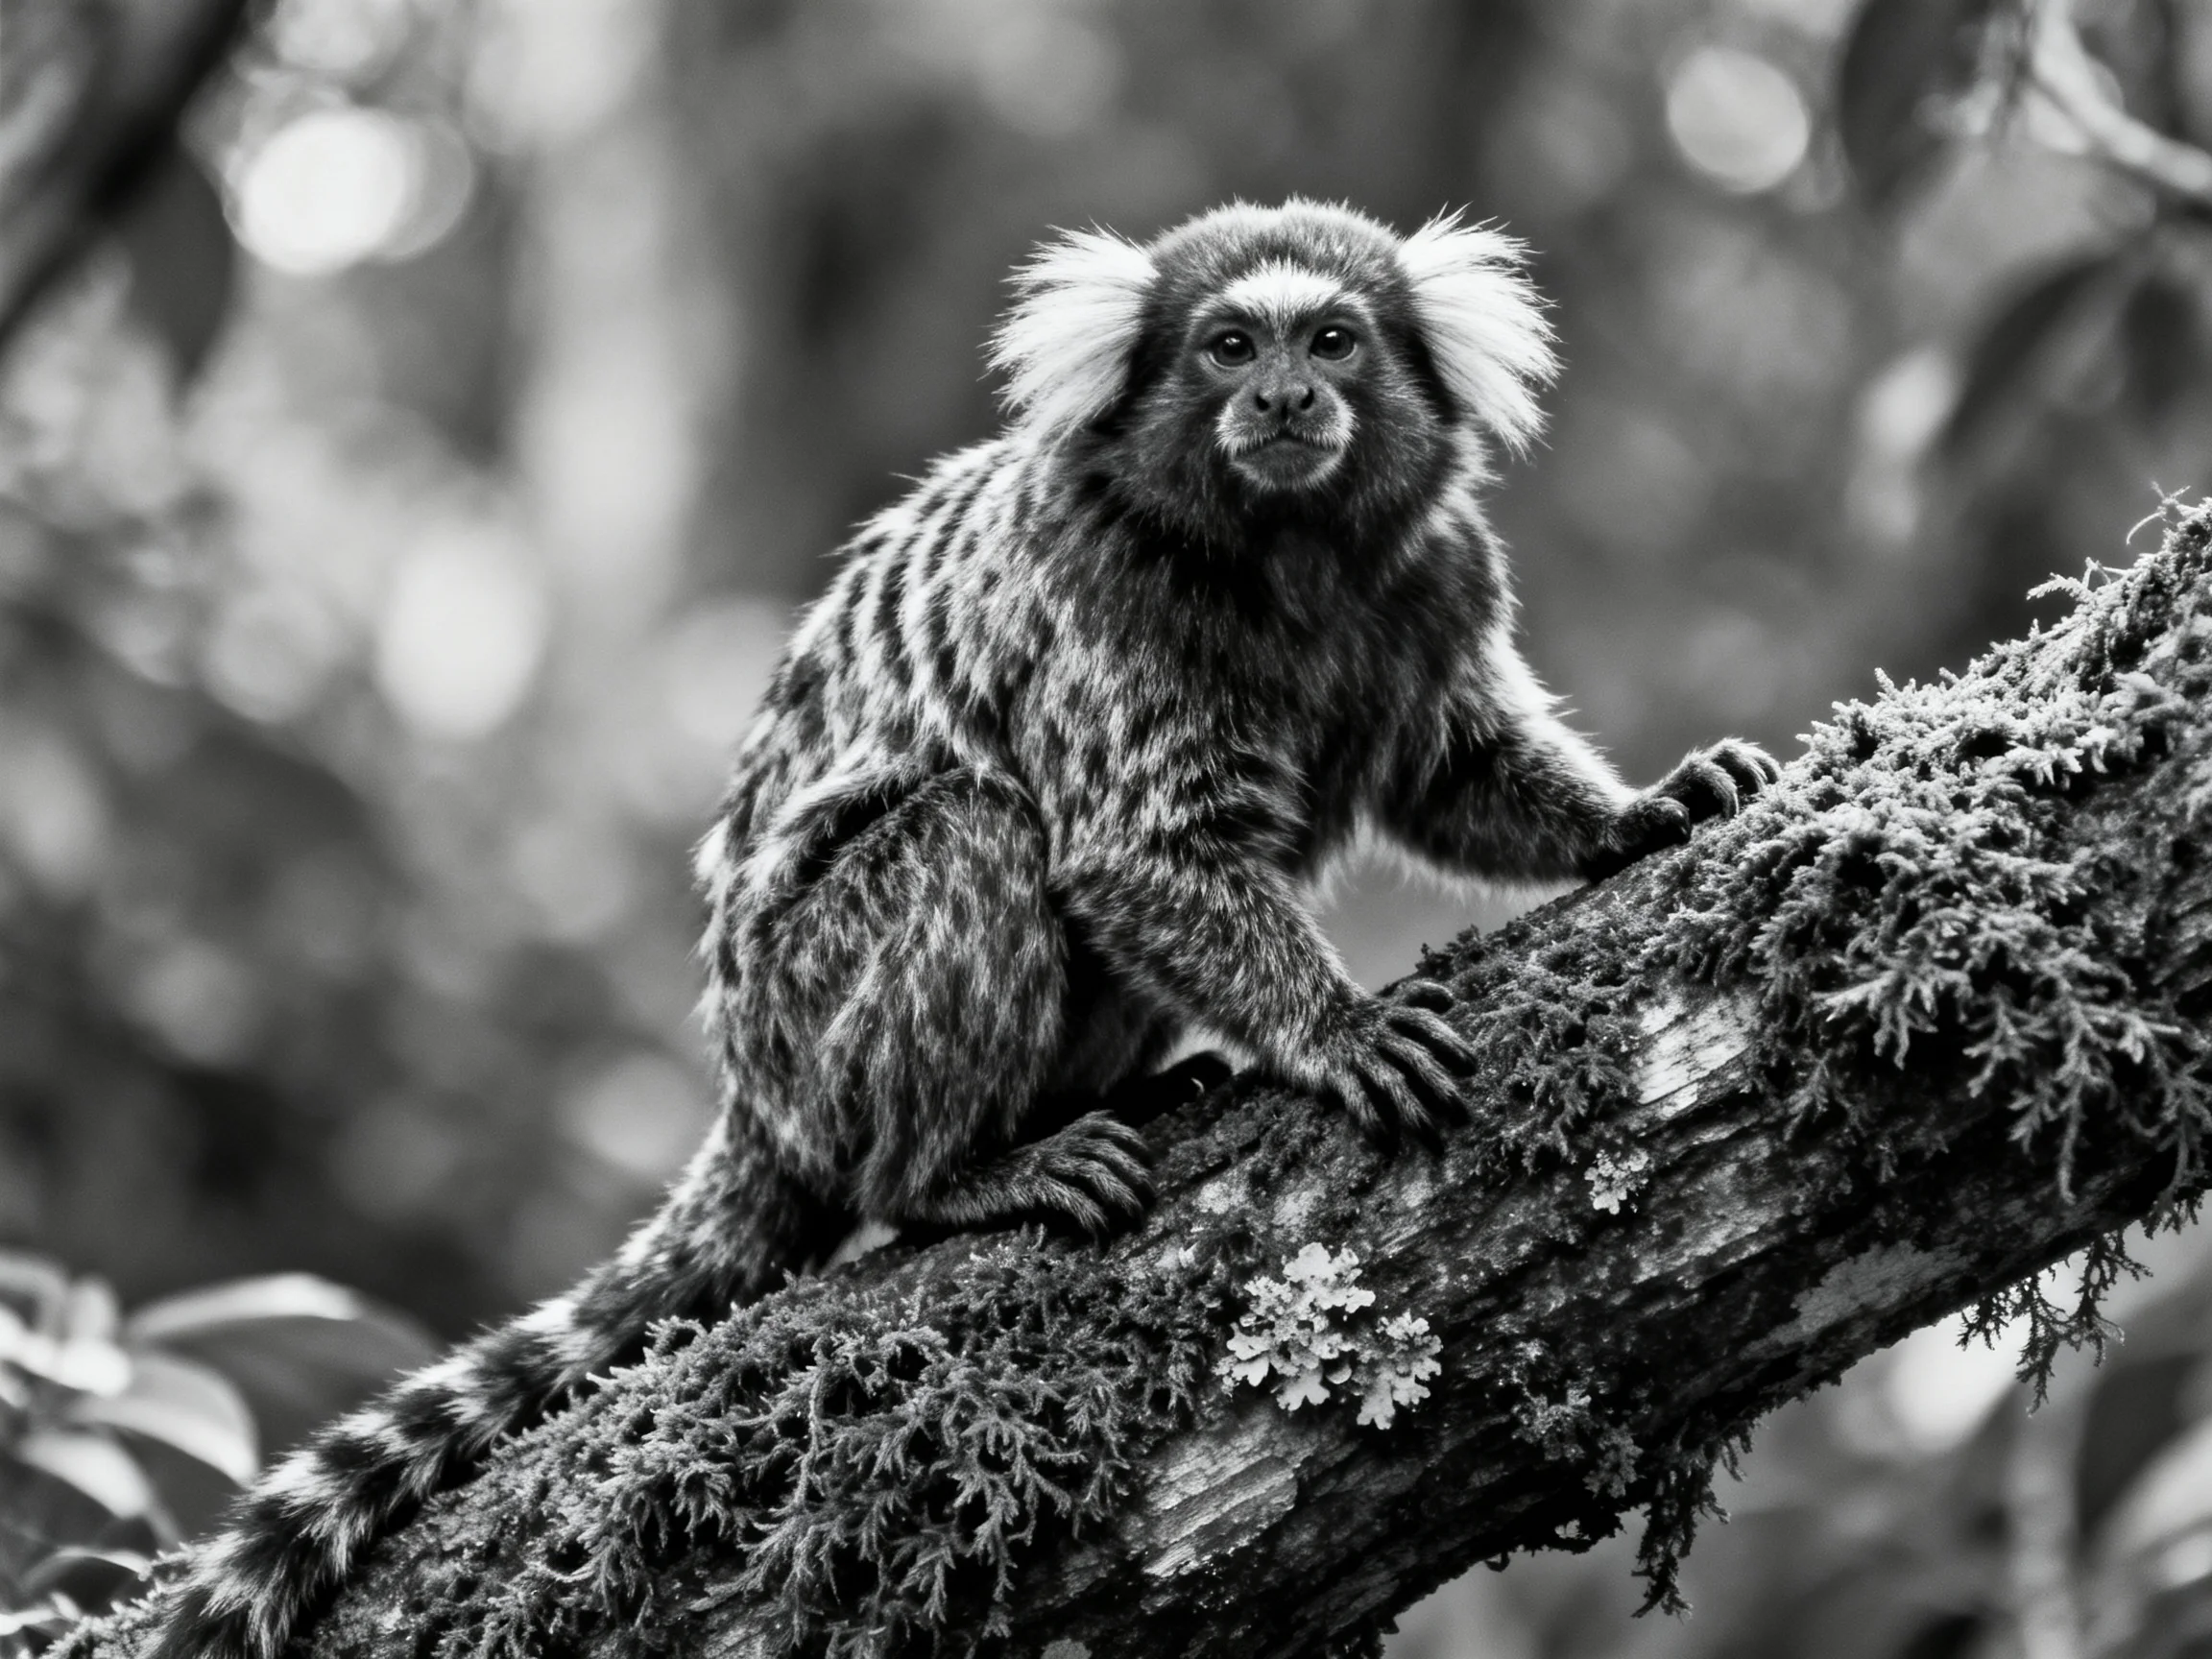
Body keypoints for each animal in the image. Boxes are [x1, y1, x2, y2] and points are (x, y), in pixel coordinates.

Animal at [144, 198, 1775, 1659]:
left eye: (1333, 339)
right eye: (1228, 345)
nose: (1284, 399)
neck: (1285, 556)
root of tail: (751, 1096)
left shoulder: (1429, 576)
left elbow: (1457, 770)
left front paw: (1636, 816)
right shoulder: (1104, 608)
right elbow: (1134, 852)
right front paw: (1337, 1027)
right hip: (815, 1024)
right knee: (973, 841)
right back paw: (963, 1175)